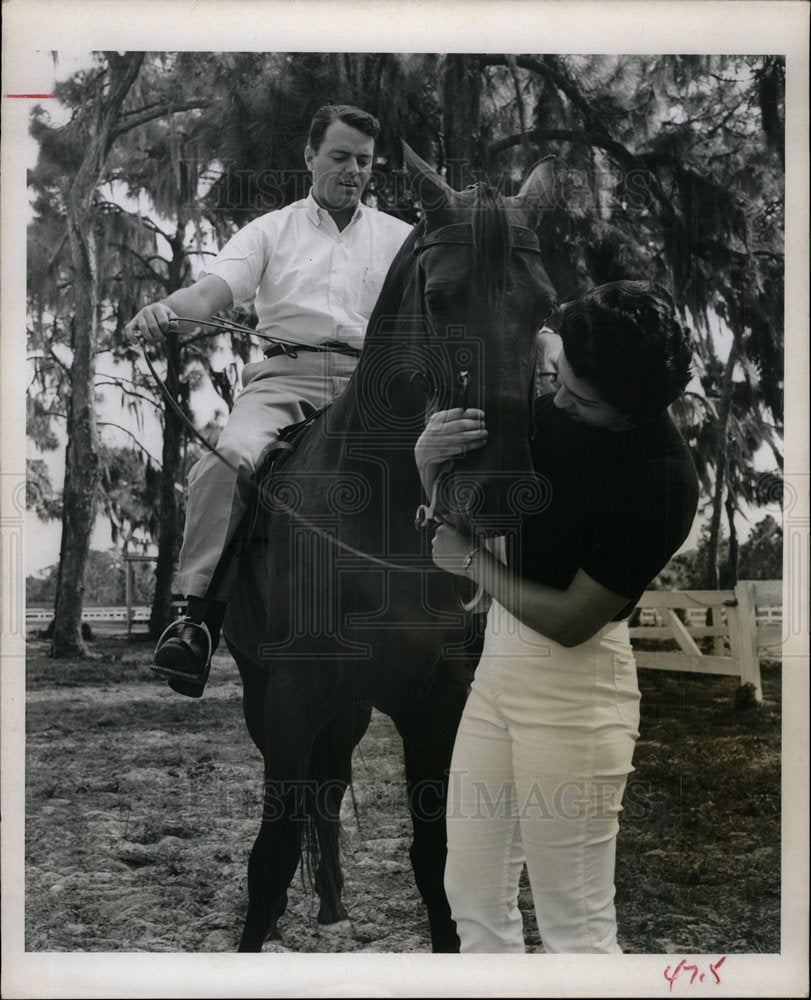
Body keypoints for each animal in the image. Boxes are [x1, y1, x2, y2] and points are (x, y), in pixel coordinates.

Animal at [222, 143, 560, 952]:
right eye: (439, 299)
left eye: (543, 307)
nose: (499, 487)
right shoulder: (289, 701)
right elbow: (268, 856)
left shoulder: (436, 704)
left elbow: (436, 858)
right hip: (267, 695)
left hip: (347, 709)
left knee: (330, 786)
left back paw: (332, 899)